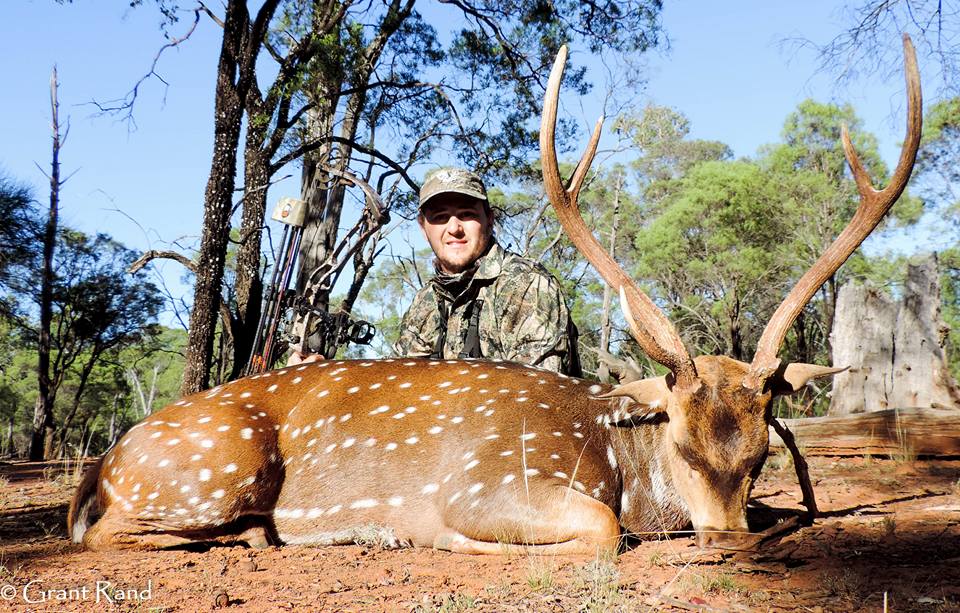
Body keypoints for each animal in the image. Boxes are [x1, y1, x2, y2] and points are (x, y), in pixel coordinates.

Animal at [69, 35, 921, 555]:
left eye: (761, 451)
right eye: (680, 442)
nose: (725, 537)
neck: (616, 449)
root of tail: (106, 455)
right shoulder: (486, 482)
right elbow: (603, 527)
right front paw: (432, 535)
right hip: (217, 463)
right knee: (103, 531)